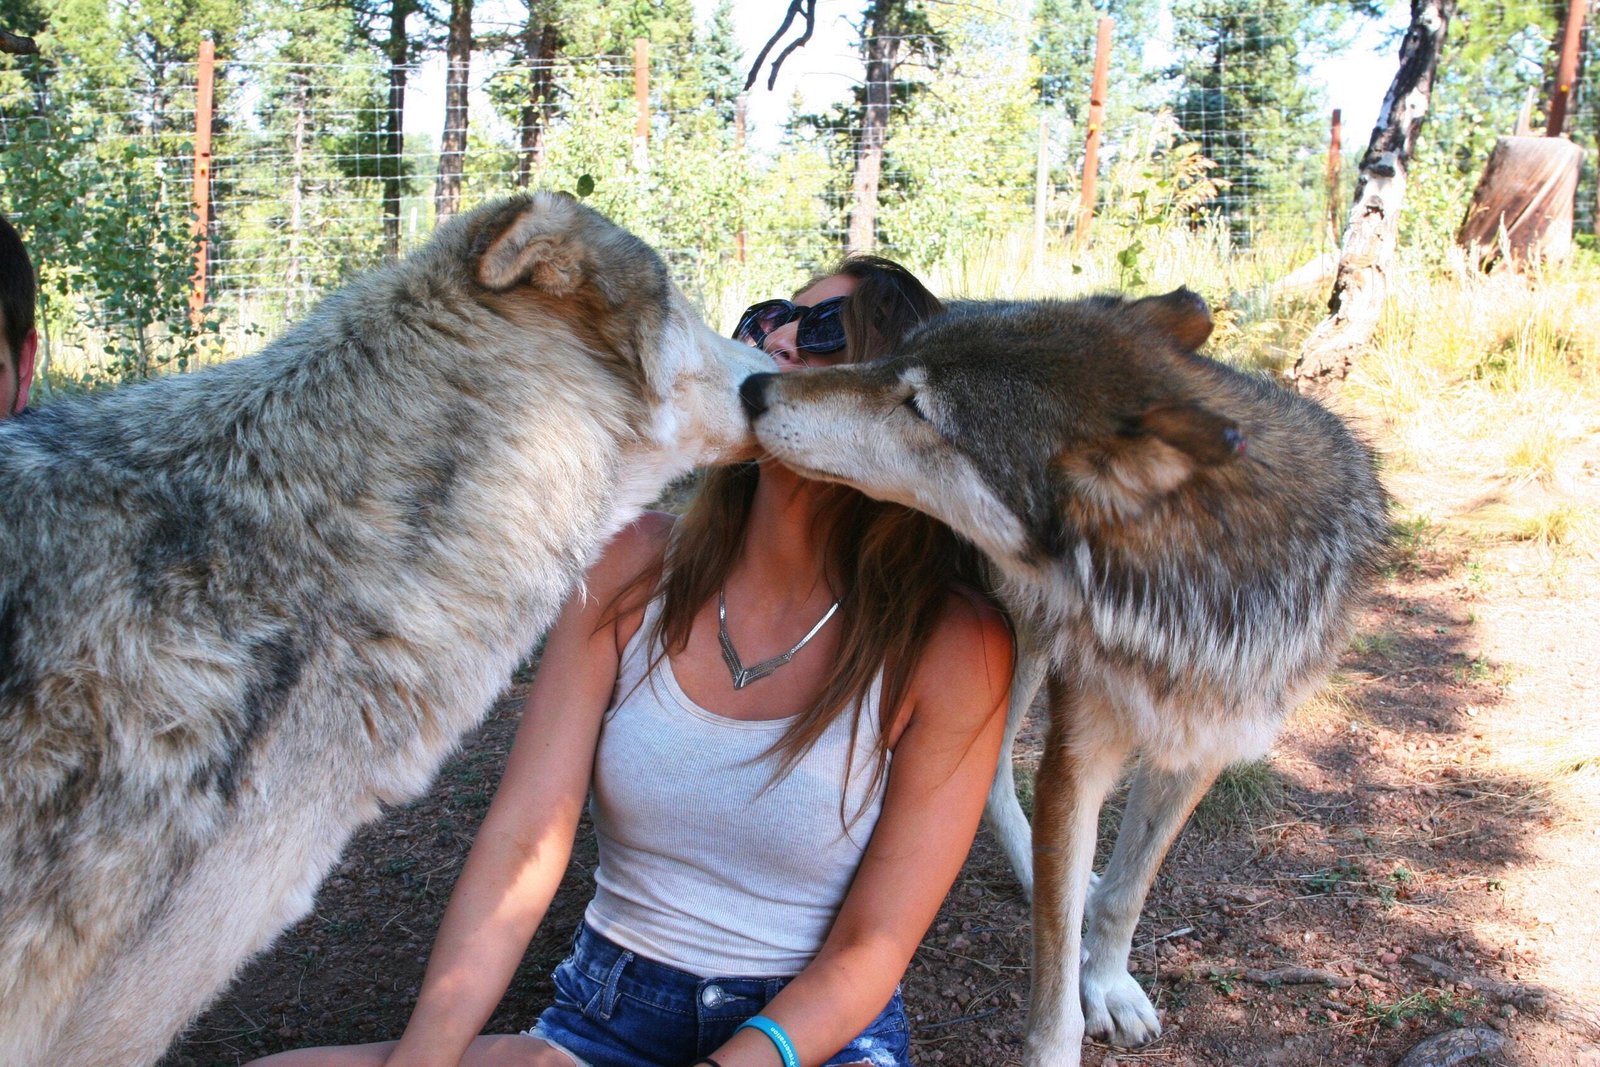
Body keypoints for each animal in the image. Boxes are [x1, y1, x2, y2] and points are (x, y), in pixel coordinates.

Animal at [745, 292, 1388, 1067]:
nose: (753, 388)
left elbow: (1127, 892)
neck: (1185, 601)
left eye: (918, 407)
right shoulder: (1078, 757)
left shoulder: (1201, 748)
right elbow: (1054, 991)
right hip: (1009, 643)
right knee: (998, 779)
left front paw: (1106, 982)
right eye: (895, 362)